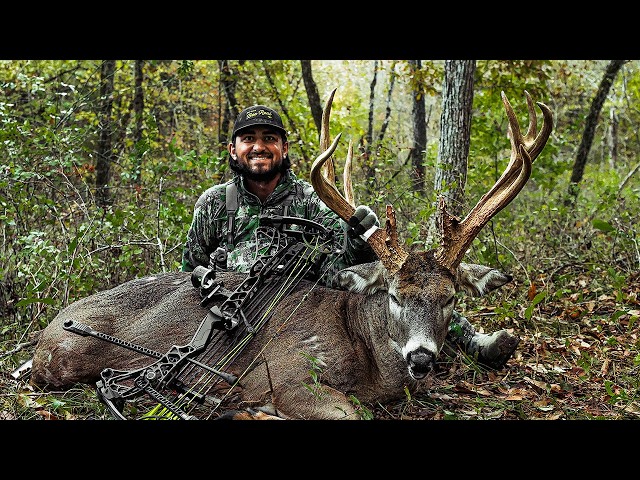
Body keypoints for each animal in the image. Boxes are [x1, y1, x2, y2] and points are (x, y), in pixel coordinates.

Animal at [29, 90, 553, 420]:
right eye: (395, 295)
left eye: (450, 298)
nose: (422, 358)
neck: (366, 354)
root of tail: (50, 327)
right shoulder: (288, 371)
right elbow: (346, 412)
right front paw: (254, 407)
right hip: (69, 357)